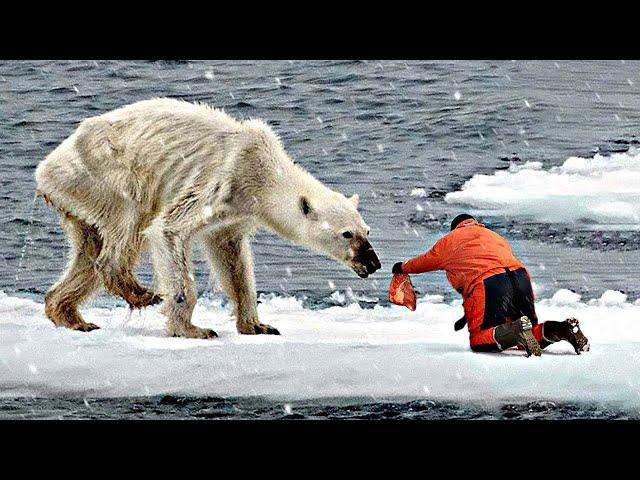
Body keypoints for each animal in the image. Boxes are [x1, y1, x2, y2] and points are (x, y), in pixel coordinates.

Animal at [35, 97, 380, 338]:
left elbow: (231, 256)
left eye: (367, 230)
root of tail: (44, 168)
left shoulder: (237, 210)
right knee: (129, 224)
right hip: (103, 174)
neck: (263, 170)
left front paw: (258, 325)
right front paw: (192, 329)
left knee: (88, 251)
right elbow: (168, 229)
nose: (373, 262)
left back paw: (71, 315)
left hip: (79, 198)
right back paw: (140, 292)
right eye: (347, 234)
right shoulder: (220, 180)